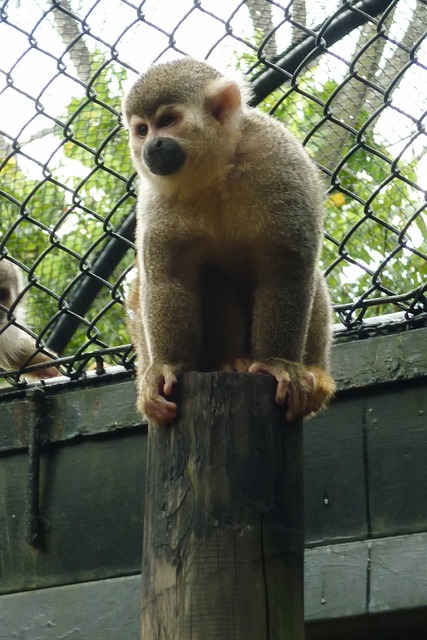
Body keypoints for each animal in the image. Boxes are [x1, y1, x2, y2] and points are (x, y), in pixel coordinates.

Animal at [122, 57, 335, 427]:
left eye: (167, 121)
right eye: (142, 130)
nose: (151, 146)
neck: (214, 170)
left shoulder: (280, 157)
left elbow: (287, 266)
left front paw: (279, 364)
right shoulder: (153, 198)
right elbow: (168, 279)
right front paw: (164, 368)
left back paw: (313, 372)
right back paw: (231, 361)